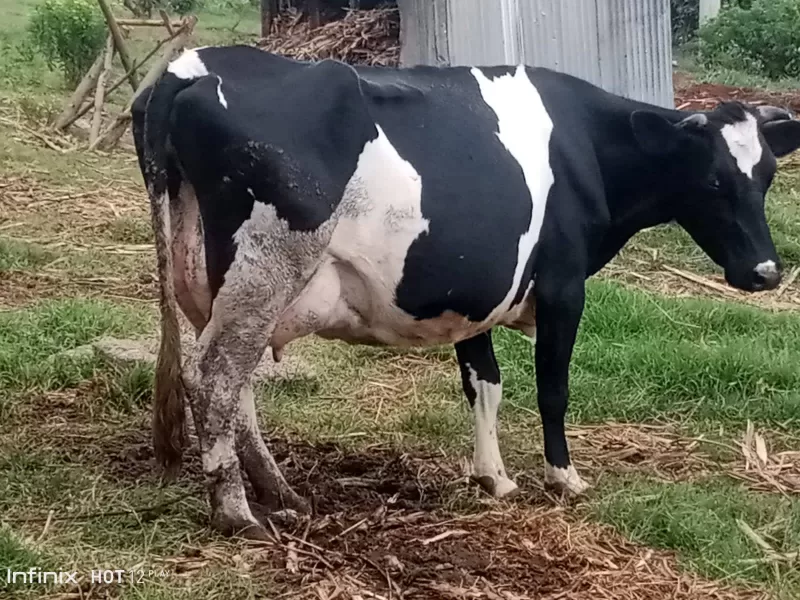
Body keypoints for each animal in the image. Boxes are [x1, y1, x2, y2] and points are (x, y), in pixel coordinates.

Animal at [134, 44, 800, 536]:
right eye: (713, 180)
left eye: (768, 175)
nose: (766, 272)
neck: (585, 144)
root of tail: (189, 68)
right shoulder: (563, 286)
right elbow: (553, 388)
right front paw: (563, 478)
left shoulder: (472, 291)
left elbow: (485, 385)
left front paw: (493, 478)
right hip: (267, 267)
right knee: (214, 376)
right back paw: (237, 512)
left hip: (219, 285)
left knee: (231, 383)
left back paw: (282, 494)